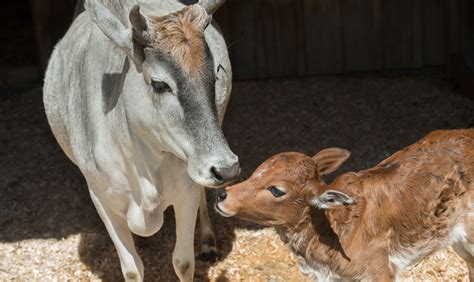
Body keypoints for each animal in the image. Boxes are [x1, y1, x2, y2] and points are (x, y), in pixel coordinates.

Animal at [42, 0, 239, 280]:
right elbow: (132, 269)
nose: (226, 168)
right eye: (159, 84)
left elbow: (183, 262)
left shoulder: (187, 190)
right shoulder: (100, 198)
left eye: (214, 76)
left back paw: (207, 241)